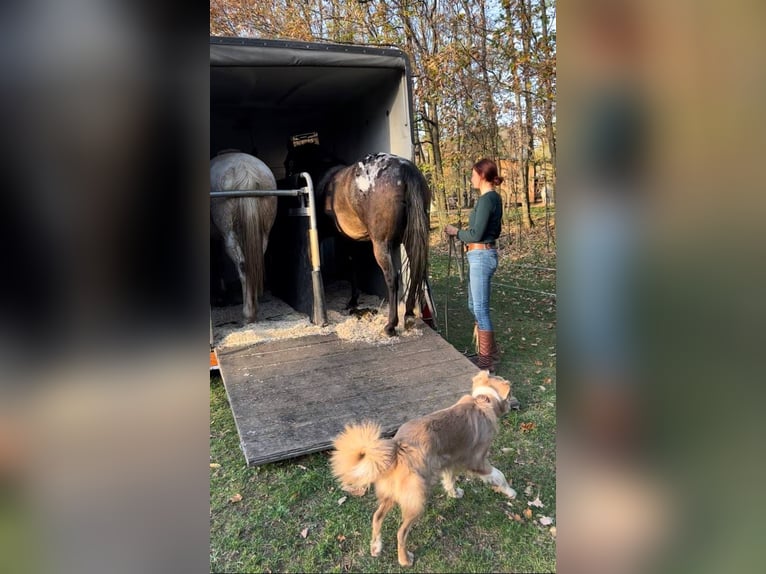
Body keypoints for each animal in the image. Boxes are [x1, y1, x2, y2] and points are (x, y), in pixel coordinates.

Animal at [330, 372, 516, 568]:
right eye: (510, 394)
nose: (512, 405)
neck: (483, 400)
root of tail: (397, 447)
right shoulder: (477, 461)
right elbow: (499, 475)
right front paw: (510, 492)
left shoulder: (448, 460)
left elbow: (450, 479)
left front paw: (454, 493)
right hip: (417, 500)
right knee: (400, 532)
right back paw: (404, 559)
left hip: (393, 494)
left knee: (377, 516)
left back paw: (376, 547)